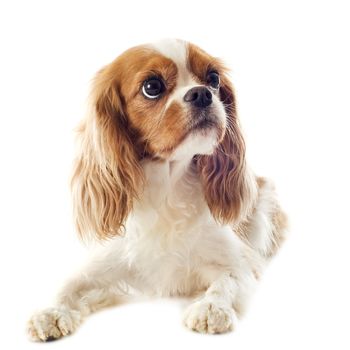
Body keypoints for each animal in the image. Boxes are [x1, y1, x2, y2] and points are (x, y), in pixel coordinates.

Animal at [27, 39, 288, 342]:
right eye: (152, 87)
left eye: (213, 79)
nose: (202, 93)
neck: (168, 185)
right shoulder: (105, 264)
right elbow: (69, 284)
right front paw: (51, 312)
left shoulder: (241, 262)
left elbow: (227, 281)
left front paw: (211, 307)